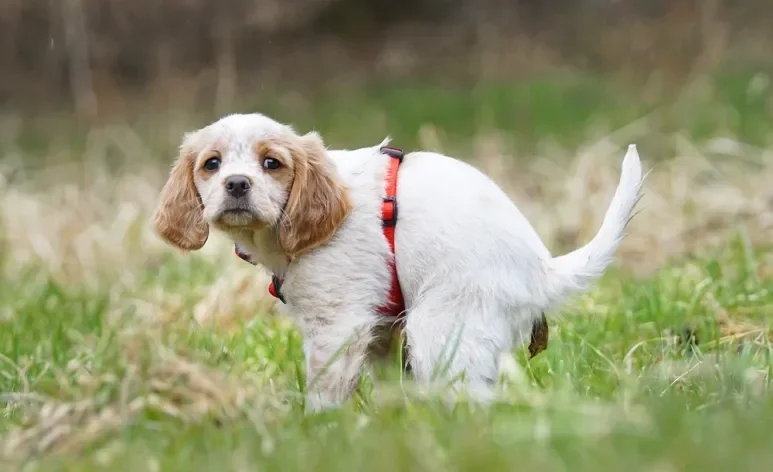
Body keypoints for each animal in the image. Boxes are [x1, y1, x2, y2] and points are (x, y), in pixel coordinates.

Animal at [154, 112, 644, 412]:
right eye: (212, 164)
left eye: (271, 163)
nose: (237, 184)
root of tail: (542, 271)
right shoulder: (382, 329)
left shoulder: (337, 324)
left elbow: (325, 389)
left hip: (442, 329)